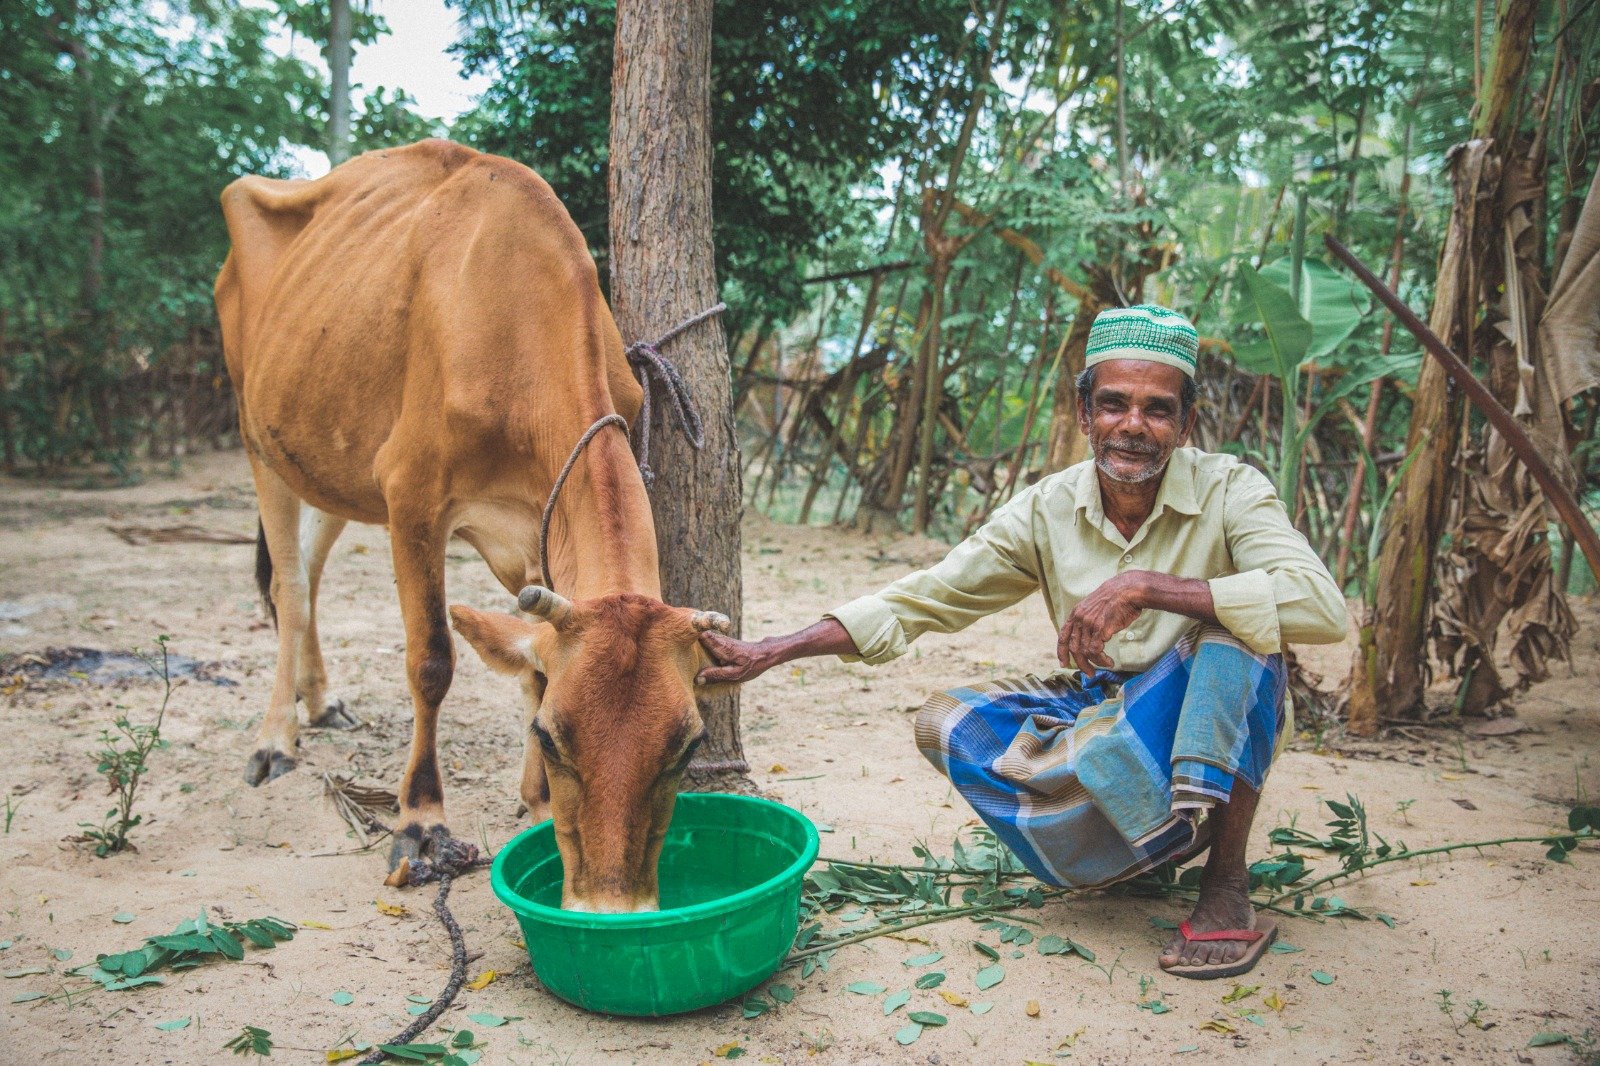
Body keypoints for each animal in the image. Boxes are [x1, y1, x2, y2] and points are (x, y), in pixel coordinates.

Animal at [215, 139, 728, 912]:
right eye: (553, 738)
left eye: (688, 746)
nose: (611, 909)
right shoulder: (411, 494)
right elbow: (432, 661)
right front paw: (420, 823)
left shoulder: (537, 531)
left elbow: (534, 661)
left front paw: (536, 801)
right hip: (259, 441)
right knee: (289, 587)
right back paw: (275, 738)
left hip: (328, 466)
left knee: (305, 572)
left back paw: (322, 701)